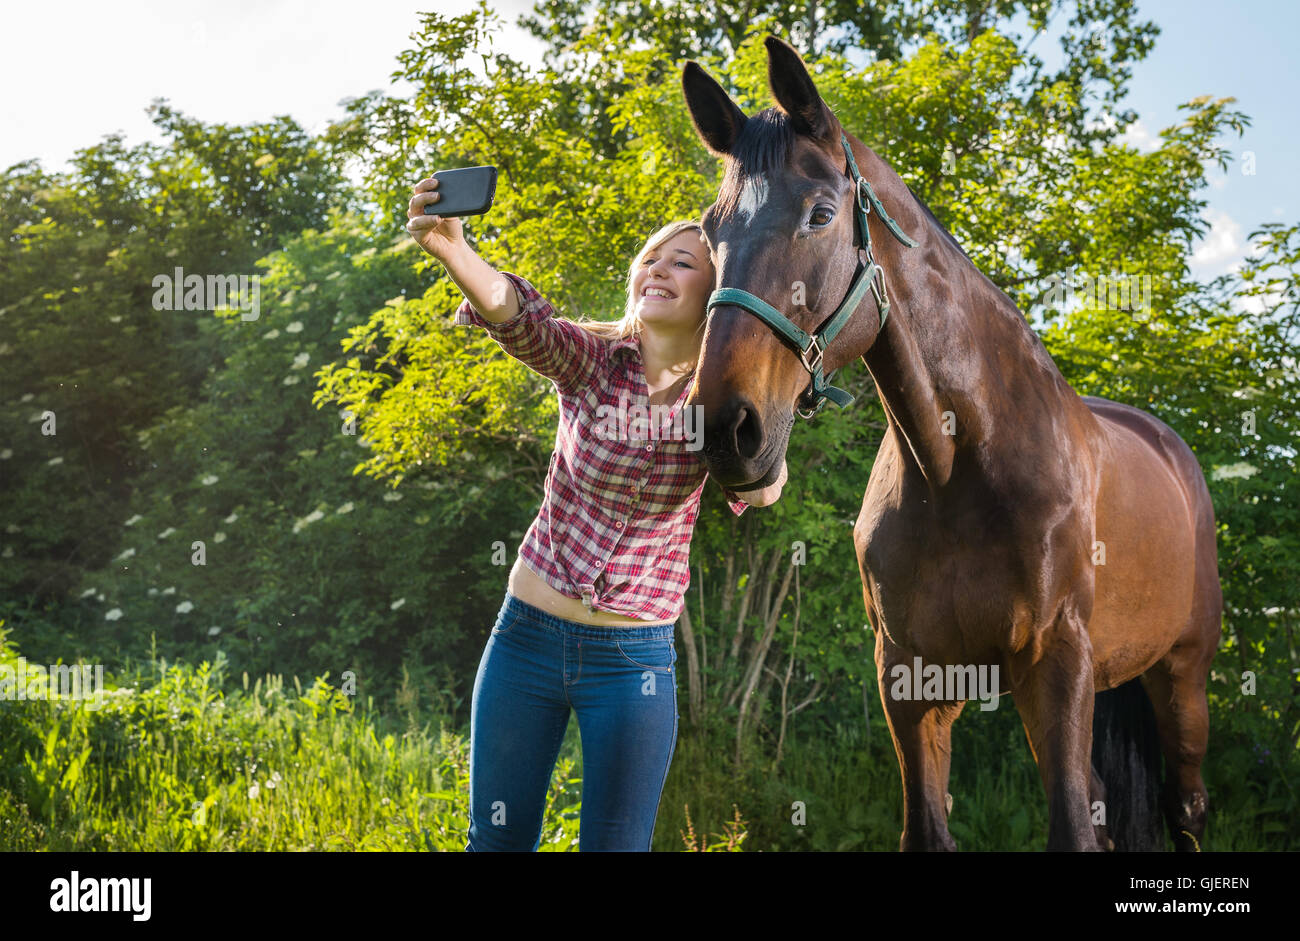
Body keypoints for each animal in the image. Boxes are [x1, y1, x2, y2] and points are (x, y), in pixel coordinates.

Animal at [679, 36, 1222, 851]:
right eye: (712, 233)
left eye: (820, 214)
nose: (724, 428)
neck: (961, 471)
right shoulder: (910, 678)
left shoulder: (1056, 665)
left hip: (1180, 677)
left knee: (1184, 807)